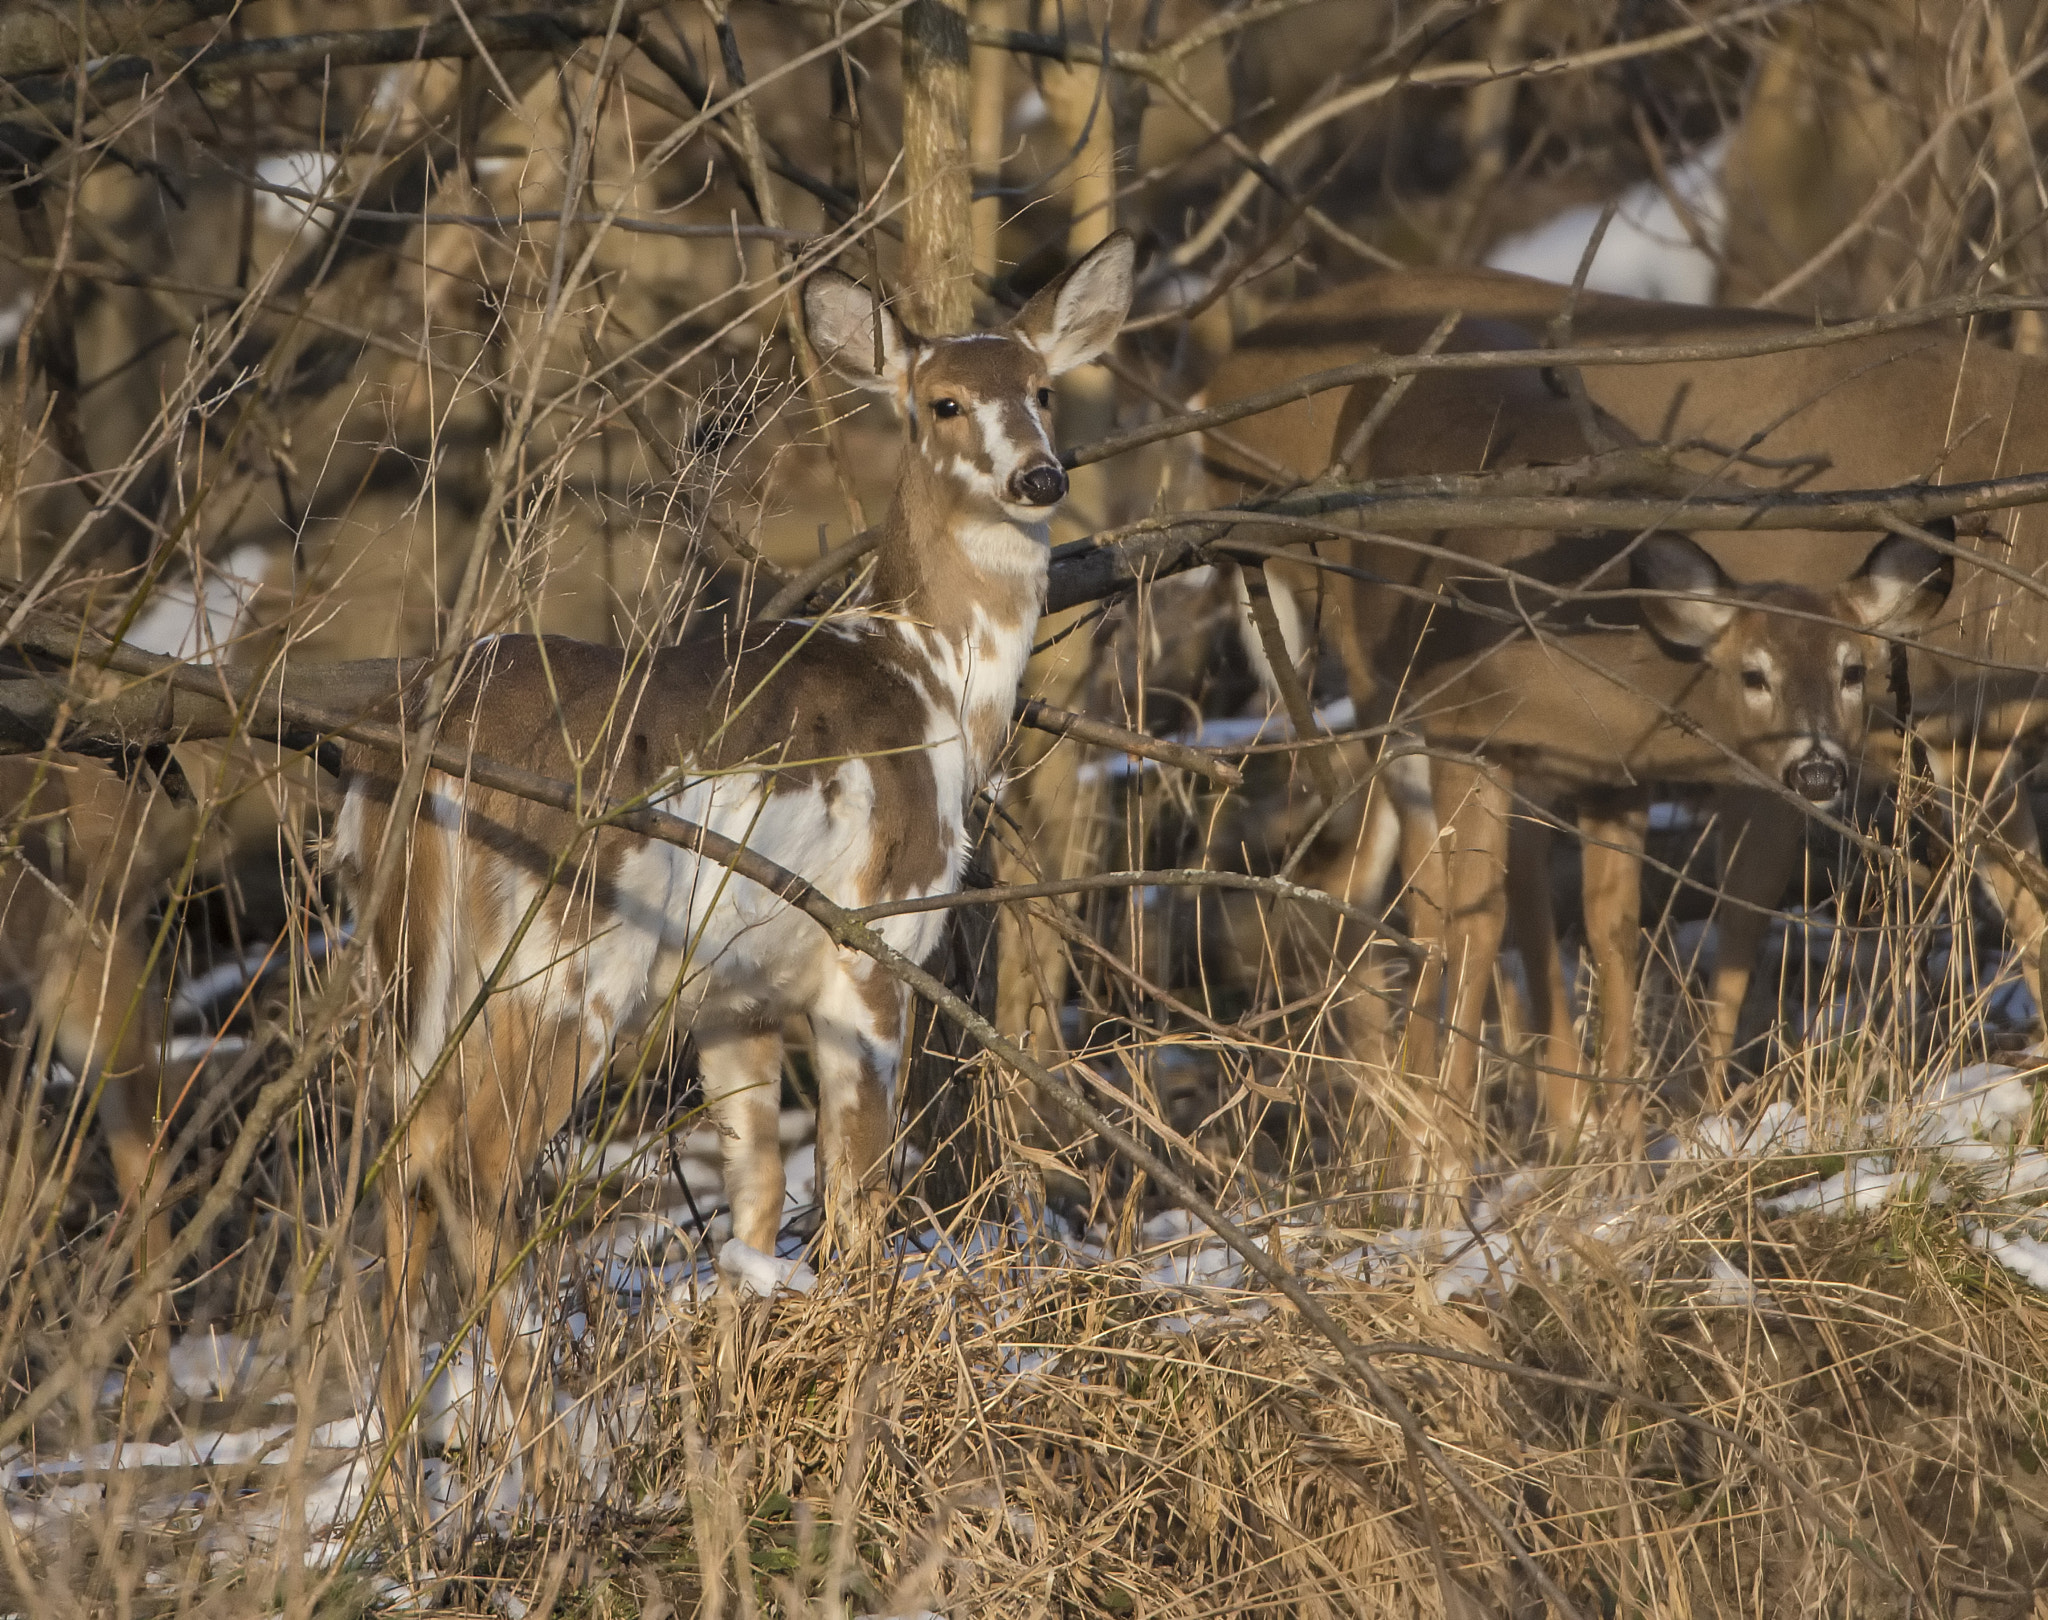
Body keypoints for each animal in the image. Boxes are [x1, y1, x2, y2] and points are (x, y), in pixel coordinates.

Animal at [339, 234, 1138, 1490]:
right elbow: (860, 1188)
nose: (1038, 479)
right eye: (942, 402)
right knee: (470, 1163)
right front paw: (864, 1389)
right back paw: (561, 1471)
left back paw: (398, 1498)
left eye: (1044, 390)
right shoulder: (871, 938)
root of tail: (414, 749)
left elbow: (756, 1198)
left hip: (411, 965)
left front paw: (734, 1404)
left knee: (399, 1154)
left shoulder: (736, 995)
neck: (934, 679)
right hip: (566, 960)